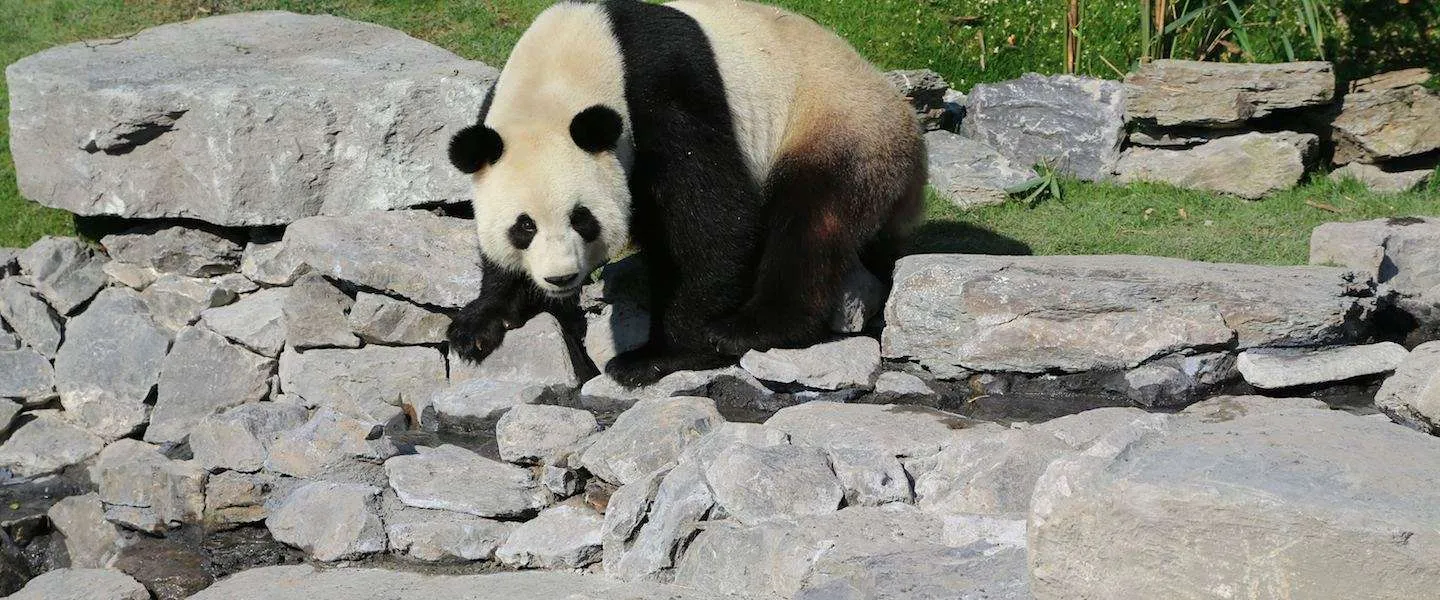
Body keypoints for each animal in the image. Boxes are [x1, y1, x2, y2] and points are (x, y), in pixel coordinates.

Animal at [447, 0, 926, 387]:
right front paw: (477, 323)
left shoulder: (664, 89)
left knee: (810, 223)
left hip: (839, 127)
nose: (560, 278)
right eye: (523, 227)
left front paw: (658, 355)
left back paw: (754, 326)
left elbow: (713, 219)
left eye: (582, 218)